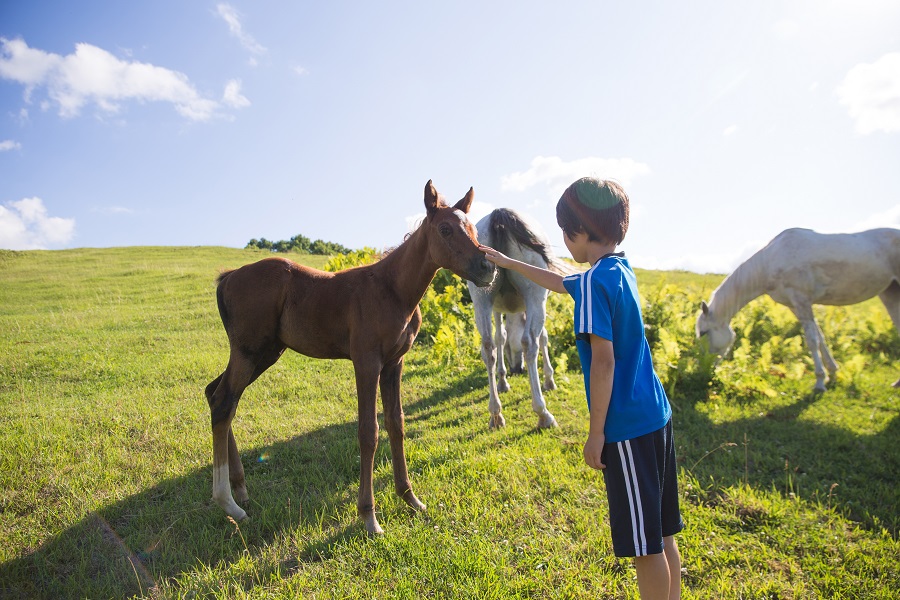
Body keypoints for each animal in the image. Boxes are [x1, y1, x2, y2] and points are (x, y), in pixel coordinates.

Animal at [472, 209, 568, 428]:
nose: (517, 369)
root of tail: (498, 215)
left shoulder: (497, 308)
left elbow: (500, 338)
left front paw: (502, 381)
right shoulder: (540, 303)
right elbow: (544, 337)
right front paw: (549, 380)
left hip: (481, 299)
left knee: (487, 347)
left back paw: (495, 414)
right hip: (535, 296)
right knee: (530, 342)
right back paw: (543, 413)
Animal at [696, 227, 900, 392]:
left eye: (704, 333)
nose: (706, 369)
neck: (770, 262)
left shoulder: (802, 301)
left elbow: (812, 340)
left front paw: (820, 382)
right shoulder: (795, 306)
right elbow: (820, 338)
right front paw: (832, 373)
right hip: (890, 293)